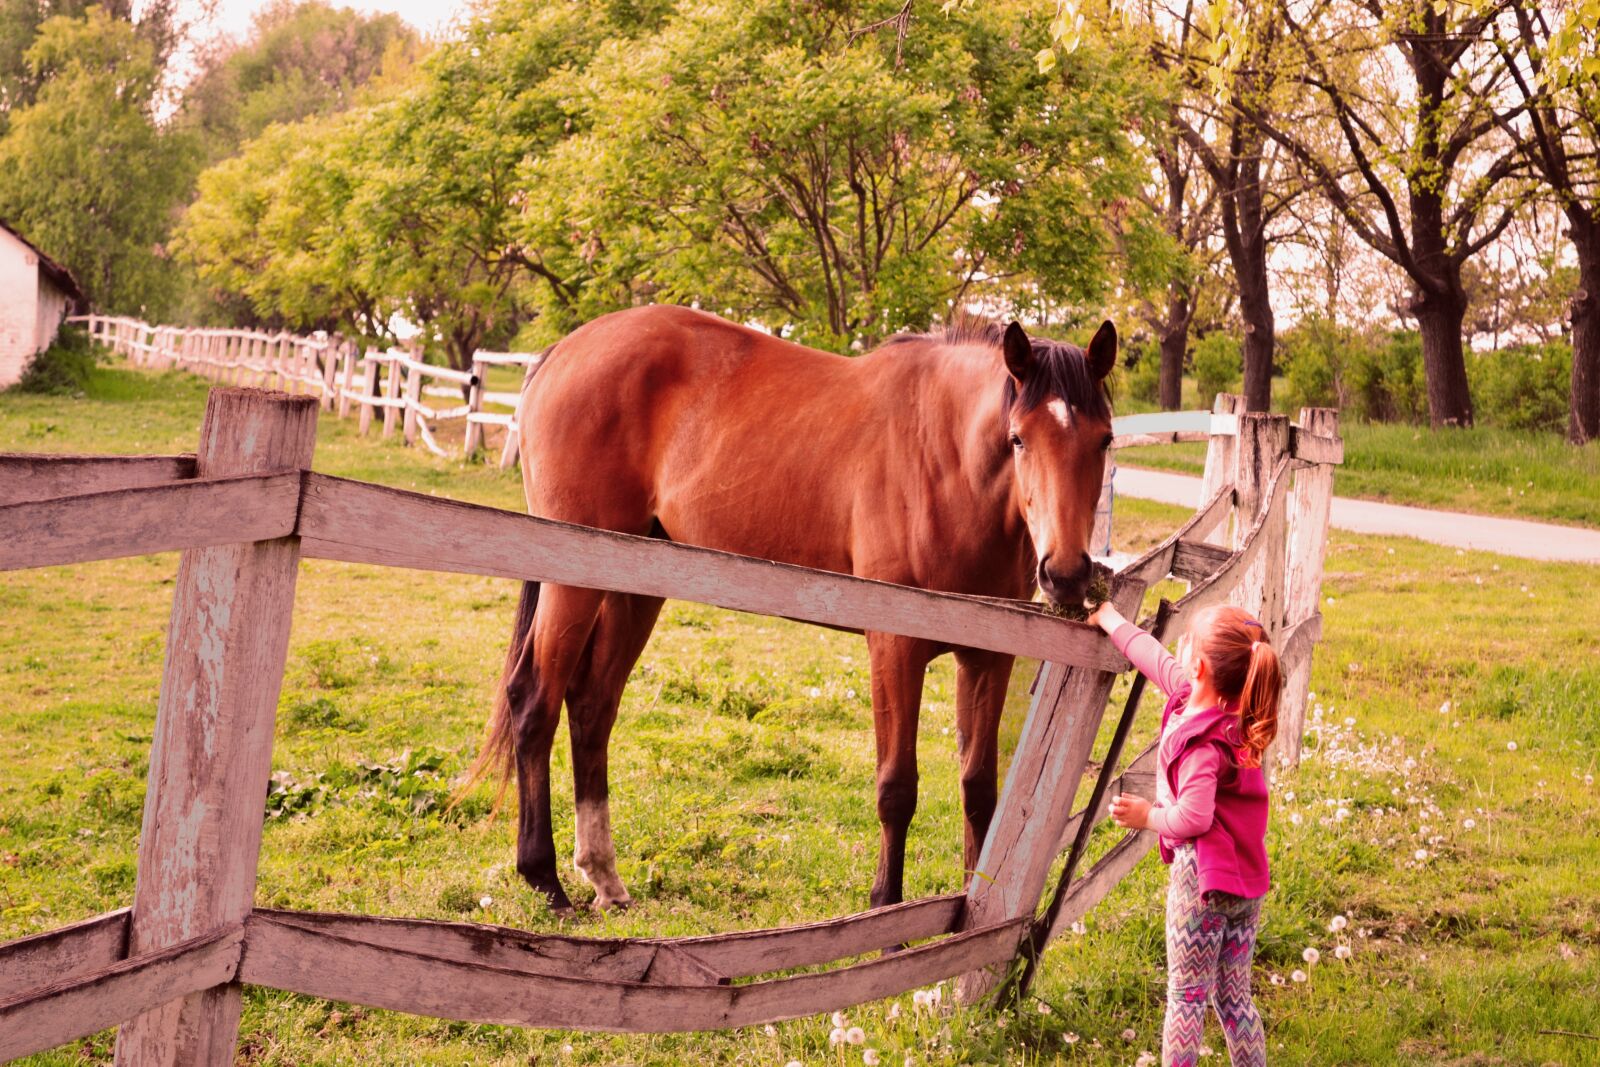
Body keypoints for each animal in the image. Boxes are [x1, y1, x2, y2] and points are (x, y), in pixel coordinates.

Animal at [472, 304, 1117, 913]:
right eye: (1018, 437)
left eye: (1105, 439)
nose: (1065, 573)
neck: (947, 461)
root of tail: (562, 352)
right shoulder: (895, 646)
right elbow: (897, 789)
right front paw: (885, 914)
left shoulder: (986, 657)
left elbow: (980, 790)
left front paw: (968, 914)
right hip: (572, 582)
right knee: (535, 699)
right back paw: (545, 880)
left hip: (635, 584)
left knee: (592, 705)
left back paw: (605, 878)